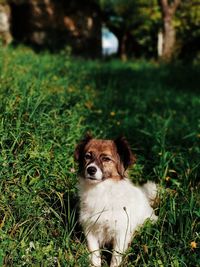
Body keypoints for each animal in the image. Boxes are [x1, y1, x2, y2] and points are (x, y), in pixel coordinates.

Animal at [74, 136, 157, 267]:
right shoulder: (90, 229)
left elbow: (115, 258)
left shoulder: (121, 233)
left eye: (106, 159)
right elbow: (95, 255)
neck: (101, 190)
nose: (91, 169)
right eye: (87, 156)